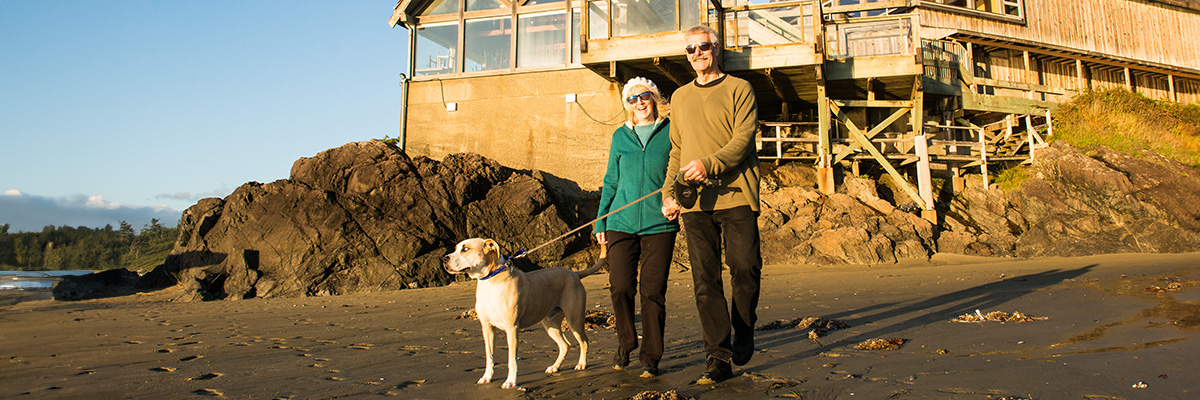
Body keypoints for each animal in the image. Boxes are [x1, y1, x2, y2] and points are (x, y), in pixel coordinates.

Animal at [444, 236, 604, 386]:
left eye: (465, 249)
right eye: (456, 248)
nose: (445, 258)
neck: (490, 280)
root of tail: (574, 274)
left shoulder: (512, 328)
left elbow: (512, 359)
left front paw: (510, 382)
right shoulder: (487, 327)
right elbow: (489, 356)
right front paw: (486, 377)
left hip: (574, 319)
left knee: (584, 341)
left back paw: (581, 364)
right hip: (550, 324)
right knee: (565, 345)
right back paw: (554, 367)